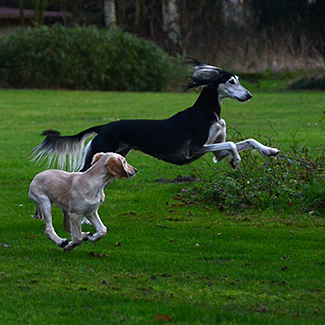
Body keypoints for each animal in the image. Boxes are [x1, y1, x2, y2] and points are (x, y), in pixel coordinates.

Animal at [31, 60, 278, 172]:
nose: (249, 95)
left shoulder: (215, 152)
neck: (208, 113)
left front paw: (269, 150)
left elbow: (247, 141)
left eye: (239, 80)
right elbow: (233, 145)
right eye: (231, 81)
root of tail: (105, 126)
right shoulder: (194, 149)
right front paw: (236, 161)